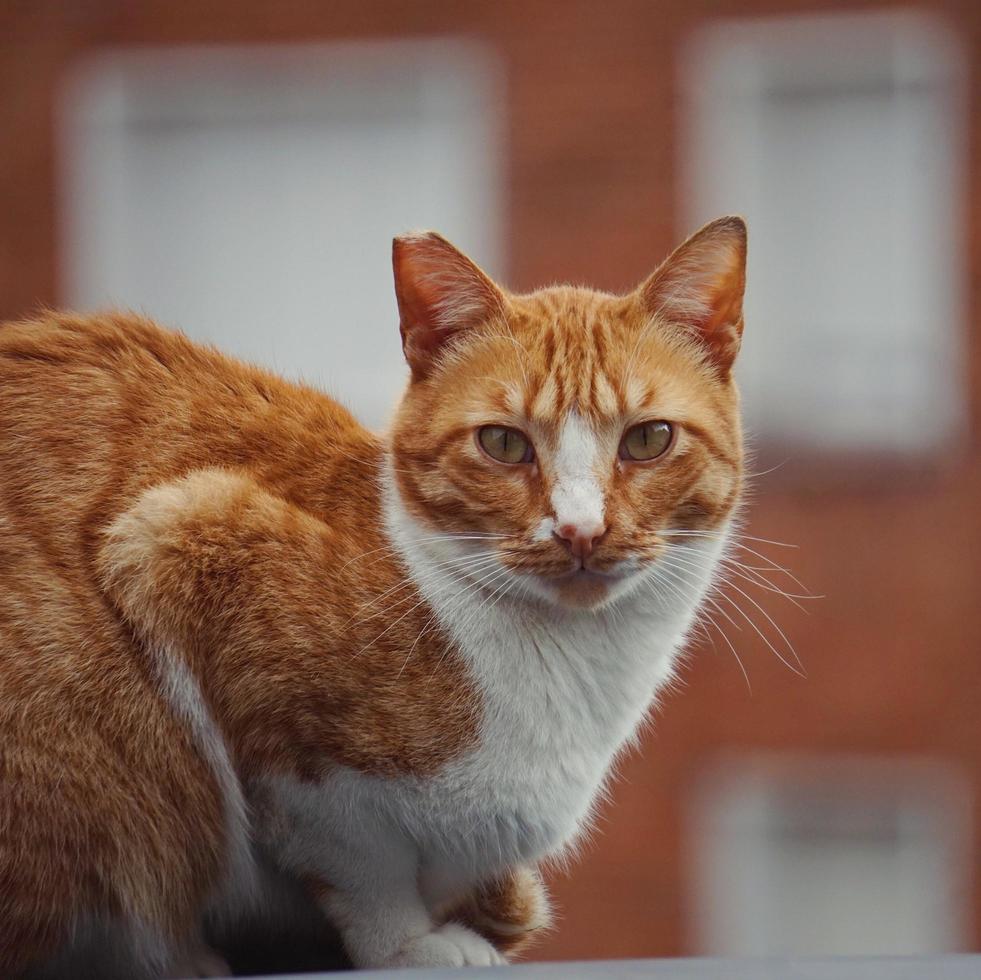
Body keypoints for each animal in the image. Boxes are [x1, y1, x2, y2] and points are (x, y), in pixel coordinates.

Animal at [0, 214, 748, 972]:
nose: (580, 531)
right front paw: (409, 941)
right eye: (504, 444)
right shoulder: (181, 538)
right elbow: (358, 860)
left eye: (647, 439)